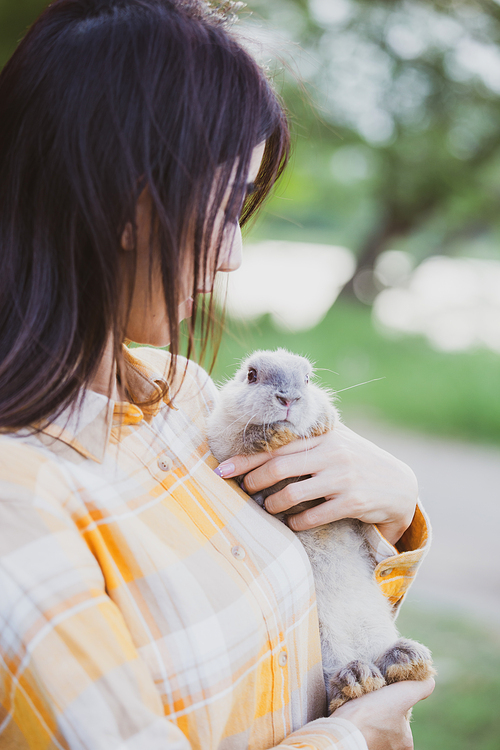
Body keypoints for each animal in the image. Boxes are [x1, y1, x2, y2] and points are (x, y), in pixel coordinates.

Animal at [207, 350, 434, 712]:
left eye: (308, 379)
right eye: (252, 375)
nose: (289, 399)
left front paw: (323, 421)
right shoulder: (226, 444)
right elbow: (243, 444)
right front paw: (270, 436)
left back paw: (405, 659)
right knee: (336, 698)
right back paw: (358, 680)